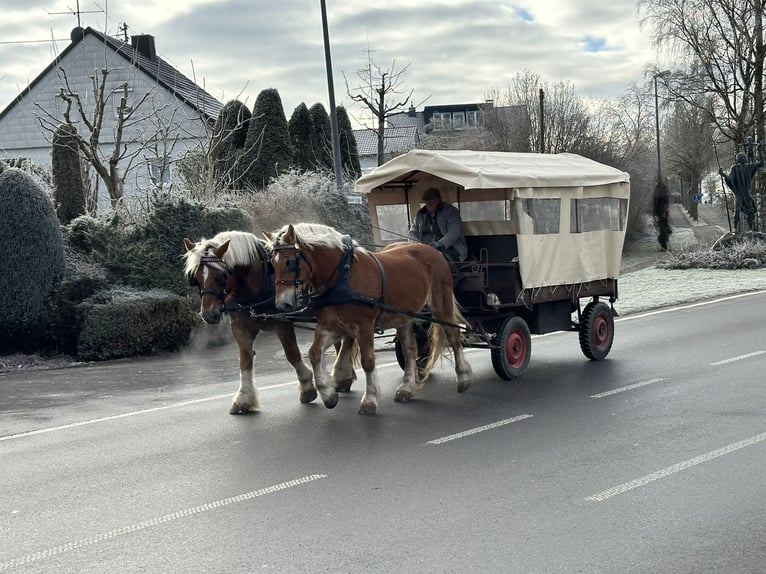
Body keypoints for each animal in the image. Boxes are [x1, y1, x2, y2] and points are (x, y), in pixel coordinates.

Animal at [184, 232, 358, 416]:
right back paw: (343, 377)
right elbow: (245, 360)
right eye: (195, 278)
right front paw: (243, 399)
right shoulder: (240, 328)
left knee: (347, 339)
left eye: (220, 276)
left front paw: (307, 388)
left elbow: (292, 354)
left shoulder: (282, 322)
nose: (208, 314)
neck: (258, 277)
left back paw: (341, 376)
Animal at [270, 223, 474, 416]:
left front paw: (369, 400)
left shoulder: (364, 326)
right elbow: (314, 354)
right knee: (410, 350)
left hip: (441, 305)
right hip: (404, 316)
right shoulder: (332, 326)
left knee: (454, 337)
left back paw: (463, 378)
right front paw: (328, 394)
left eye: (289, 262)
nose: (282, 304)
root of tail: (433, 250)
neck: (342, 275)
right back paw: (407, 388)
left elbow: (368, 361)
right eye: (272, 264)